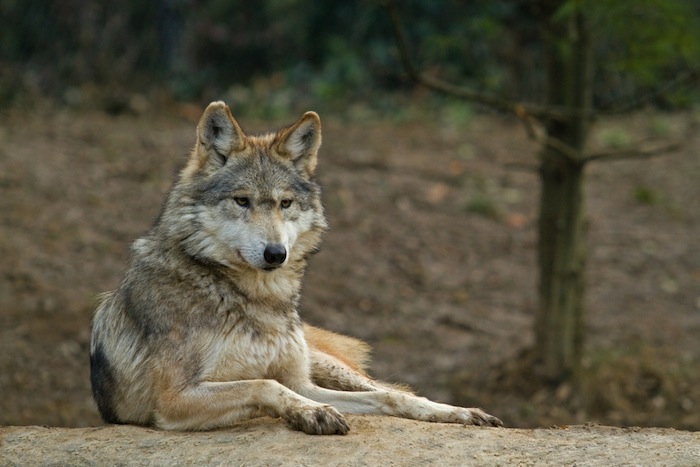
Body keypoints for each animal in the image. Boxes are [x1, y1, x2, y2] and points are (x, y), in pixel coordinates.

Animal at [89, 102, 504, 436]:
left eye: (285, 203)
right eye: (242, 201)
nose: (276, 254)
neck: (258, 301)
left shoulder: (300, 382)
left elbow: (382, 398)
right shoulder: (174, 399)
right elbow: (264, 385)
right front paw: (313, 414)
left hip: (328, 365)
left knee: (392, 390)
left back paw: (460, 412)